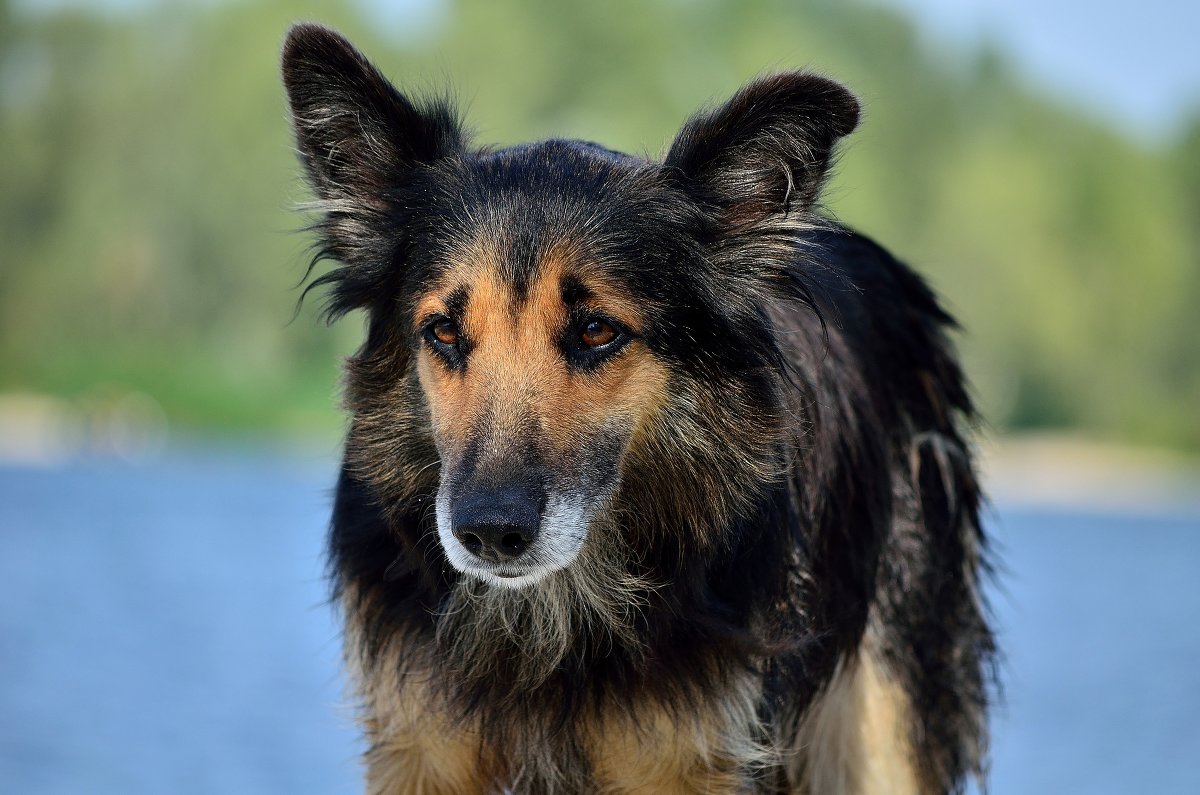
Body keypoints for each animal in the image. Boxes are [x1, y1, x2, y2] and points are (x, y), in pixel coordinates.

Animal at [280, 21, 993, 792]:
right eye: (442, 331)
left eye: (597, 331)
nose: (489, 533)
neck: (552, 620)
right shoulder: (422, 745)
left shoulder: (691, 755)